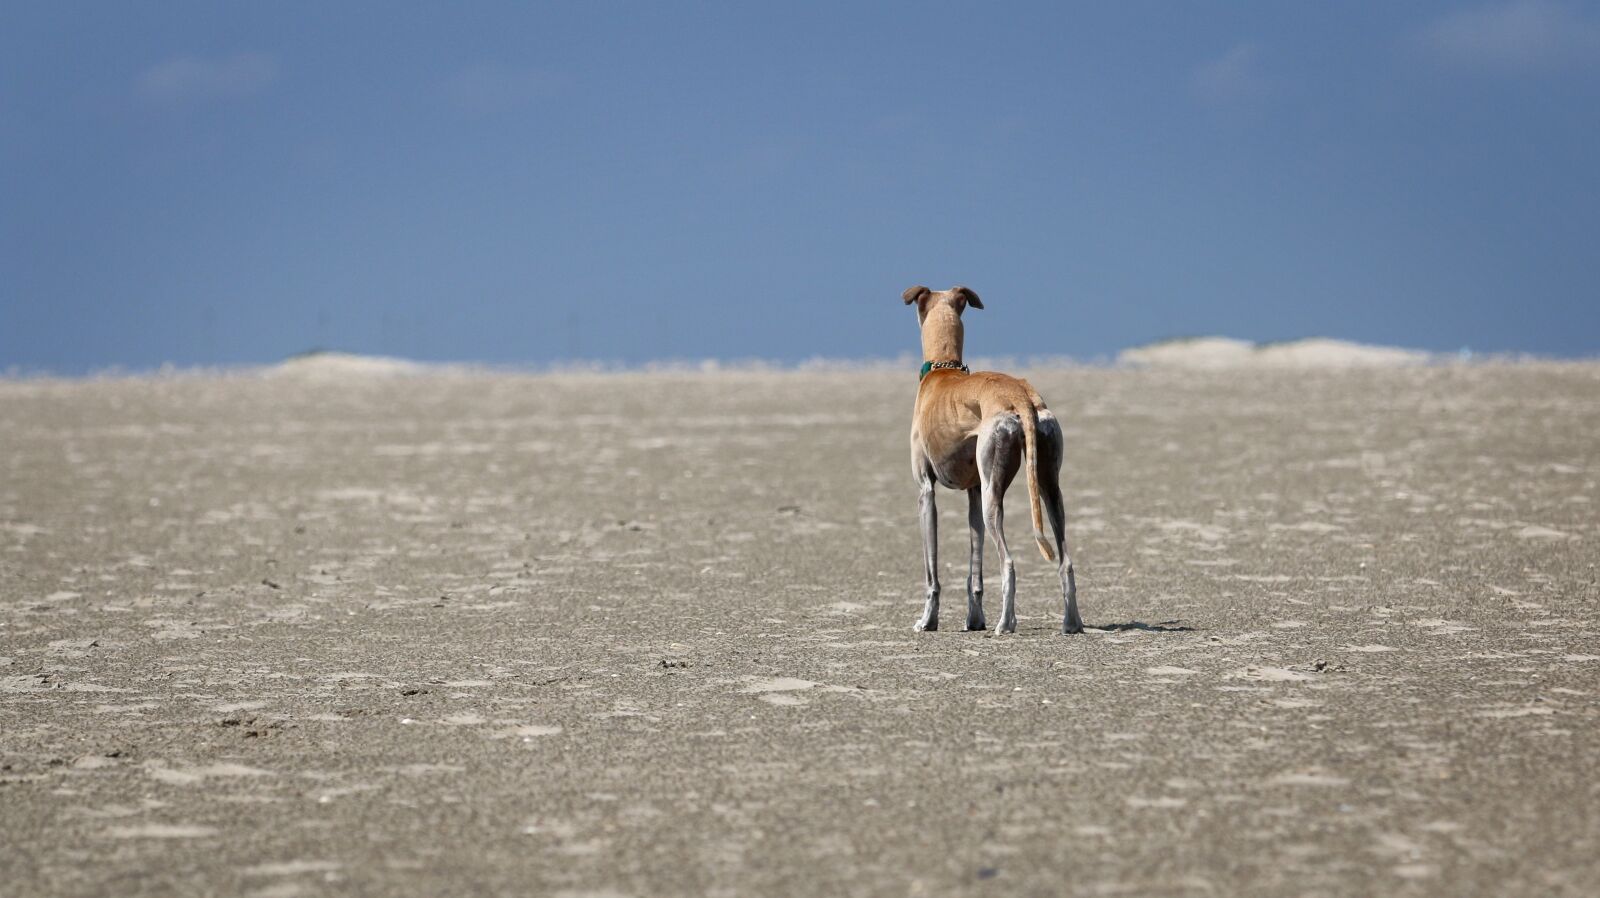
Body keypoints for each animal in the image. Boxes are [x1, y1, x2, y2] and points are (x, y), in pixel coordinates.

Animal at [902, 284, 1088, 630]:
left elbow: (932, 573)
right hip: (1046, 486)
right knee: (1065, 560)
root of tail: (1020, 394)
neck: (943, 369)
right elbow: (974, 572)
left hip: (993, 495)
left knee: (1009, 562)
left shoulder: (926, 492)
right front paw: (974, 619)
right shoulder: (974, 492)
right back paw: (1072, 623)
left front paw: (928, 620)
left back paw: (1006, 623)